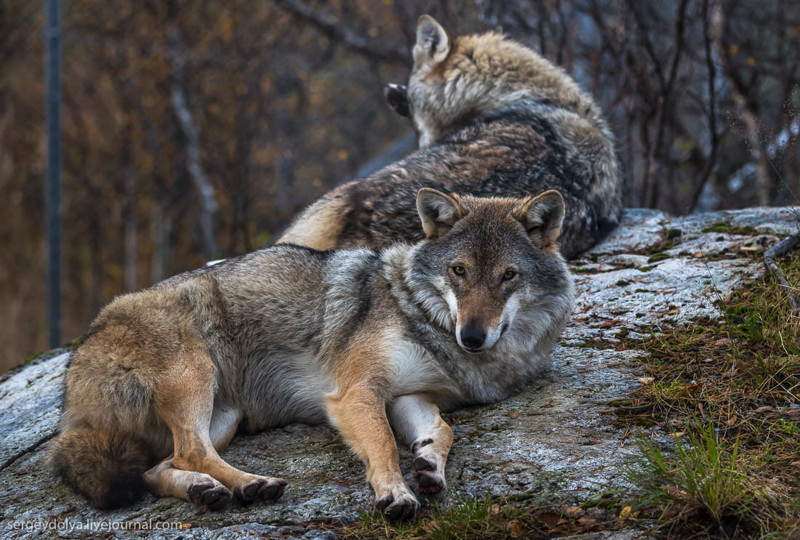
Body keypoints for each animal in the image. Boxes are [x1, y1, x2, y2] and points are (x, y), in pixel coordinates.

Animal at [50, 189, 576, 520]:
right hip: (196, 377)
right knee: (188, 451)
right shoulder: (357, 392)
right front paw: (396, 492)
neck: (424, 315)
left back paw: (213, 491)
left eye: (508, 276)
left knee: (160, 467)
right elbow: (384, 444)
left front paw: (428, 464)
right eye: (459, 271)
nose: (473, 335)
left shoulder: (413, 396)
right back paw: (251, 484)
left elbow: (442, 432)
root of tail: (70, 392)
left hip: (225, 416)